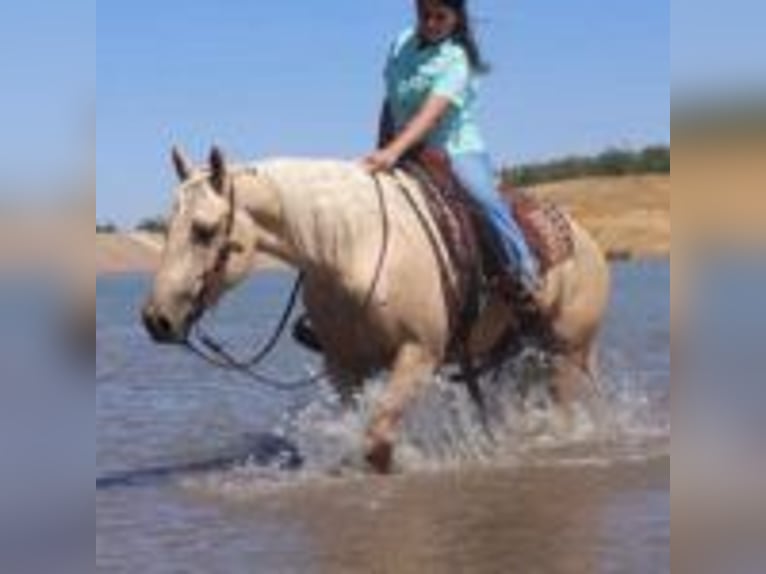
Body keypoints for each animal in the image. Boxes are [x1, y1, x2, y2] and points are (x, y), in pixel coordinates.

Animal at [142, 146, 610, 472]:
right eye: (167, 228)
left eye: (203, 230)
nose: (155, 319)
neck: (354, 248)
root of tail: (587, 241)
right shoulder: (343, 365)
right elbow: (357, 431)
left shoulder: (417, 355)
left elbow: (378, 440)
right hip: (521, 356)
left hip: (568, 353)